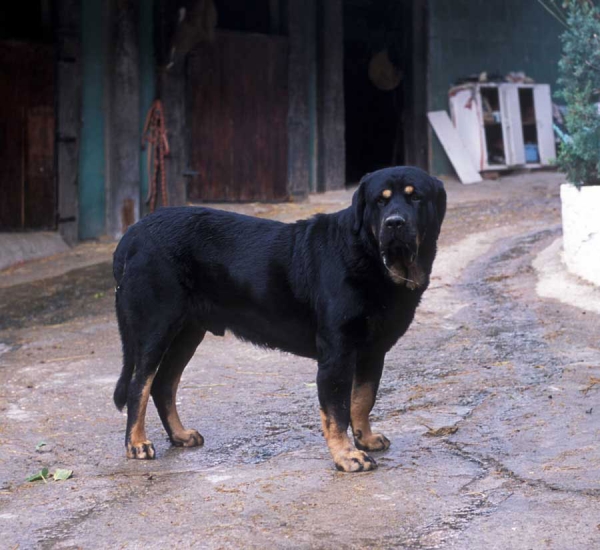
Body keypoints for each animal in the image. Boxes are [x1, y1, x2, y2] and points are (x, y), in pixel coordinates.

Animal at [112, 166, 446, 472]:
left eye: (416, 196)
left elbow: (363, 399)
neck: (370, 256)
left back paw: (180, 435)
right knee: (139, 385)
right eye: (380, 201)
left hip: (187, 333)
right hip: (154, 328)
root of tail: (133, 232)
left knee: (163, 384)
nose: (395, 222)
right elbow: (337, 411)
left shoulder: (372, 352)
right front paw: (347, 456)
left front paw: (366, 439)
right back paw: (137, 444)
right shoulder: (337, 353)